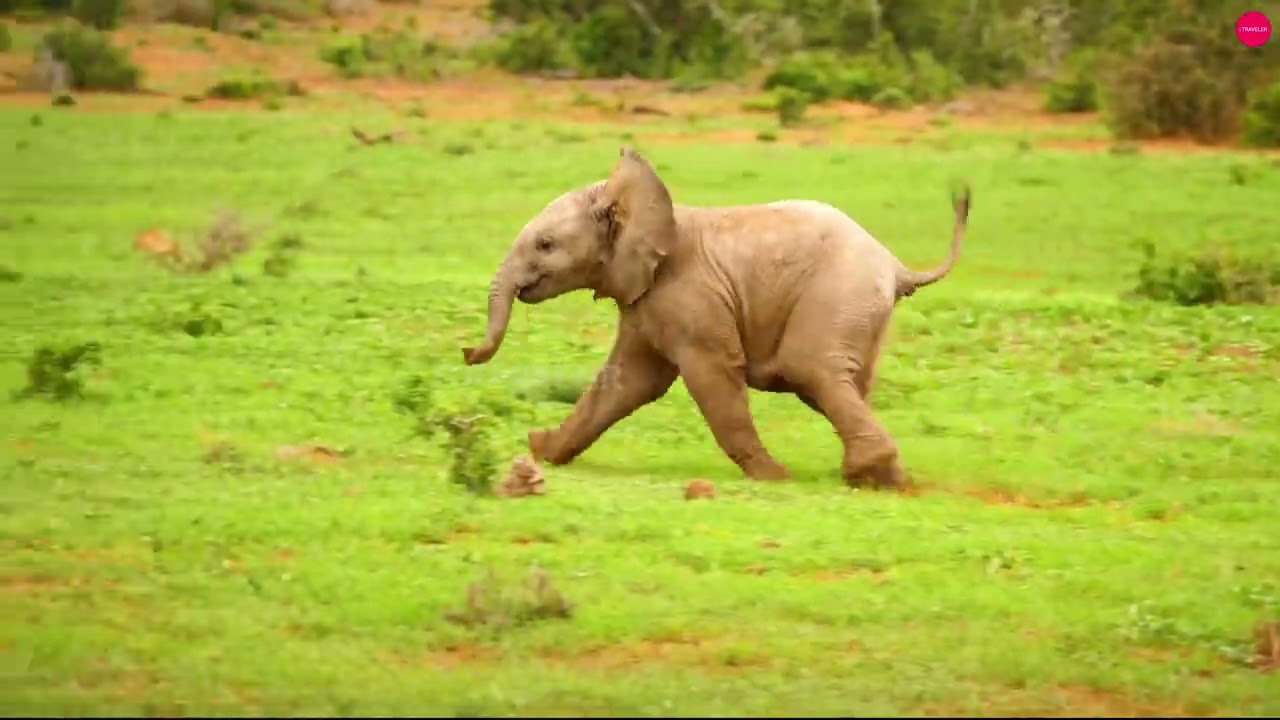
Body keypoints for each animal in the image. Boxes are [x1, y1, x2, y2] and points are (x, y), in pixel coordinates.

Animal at [462, 146, 971, 489]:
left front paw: (774, 478)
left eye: (545, 245)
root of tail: (897, 265)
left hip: (838, 294)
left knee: (813, 370)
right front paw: (541, 449)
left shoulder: (691, 299)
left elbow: (711, 378)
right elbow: (626, 381)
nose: (467, 351)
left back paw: (865, 474)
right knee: (842, 383)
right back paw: (884, 479)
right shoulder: (646, 300)